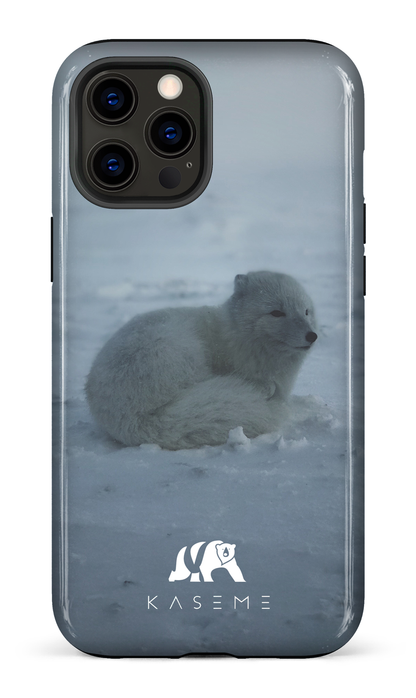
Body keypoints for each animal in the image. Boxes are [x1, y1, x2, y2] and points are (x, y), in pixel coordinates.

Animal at [85, 271, 318, 450]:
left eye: (306, 311)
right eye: (276, 312)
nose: (312, 336)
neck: (235, 336)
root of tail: (132, 418)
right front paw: (265, 387)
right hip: (179, 350)